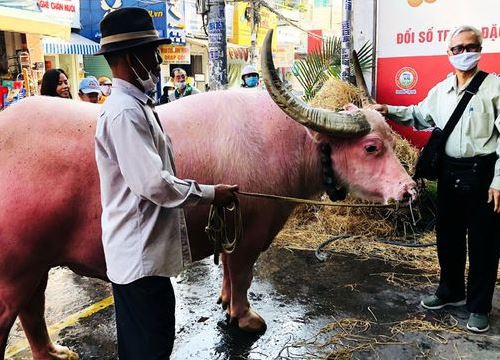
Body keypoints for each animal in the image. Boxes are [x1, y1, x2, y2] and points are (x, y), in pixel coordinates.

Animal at [0, 35, 414, 358]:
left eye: (390, 137)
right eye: (372, 147)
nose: (408, 190)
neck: (285, 142)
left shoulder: (230, 229)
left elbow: (229, 273)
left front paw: (226, 302)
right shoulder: (249, 235)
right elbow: (244, 275)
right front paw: (245, 317)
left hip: (36, 266)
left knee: (33, 310)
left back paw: (52, 351)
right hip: (14, 272)